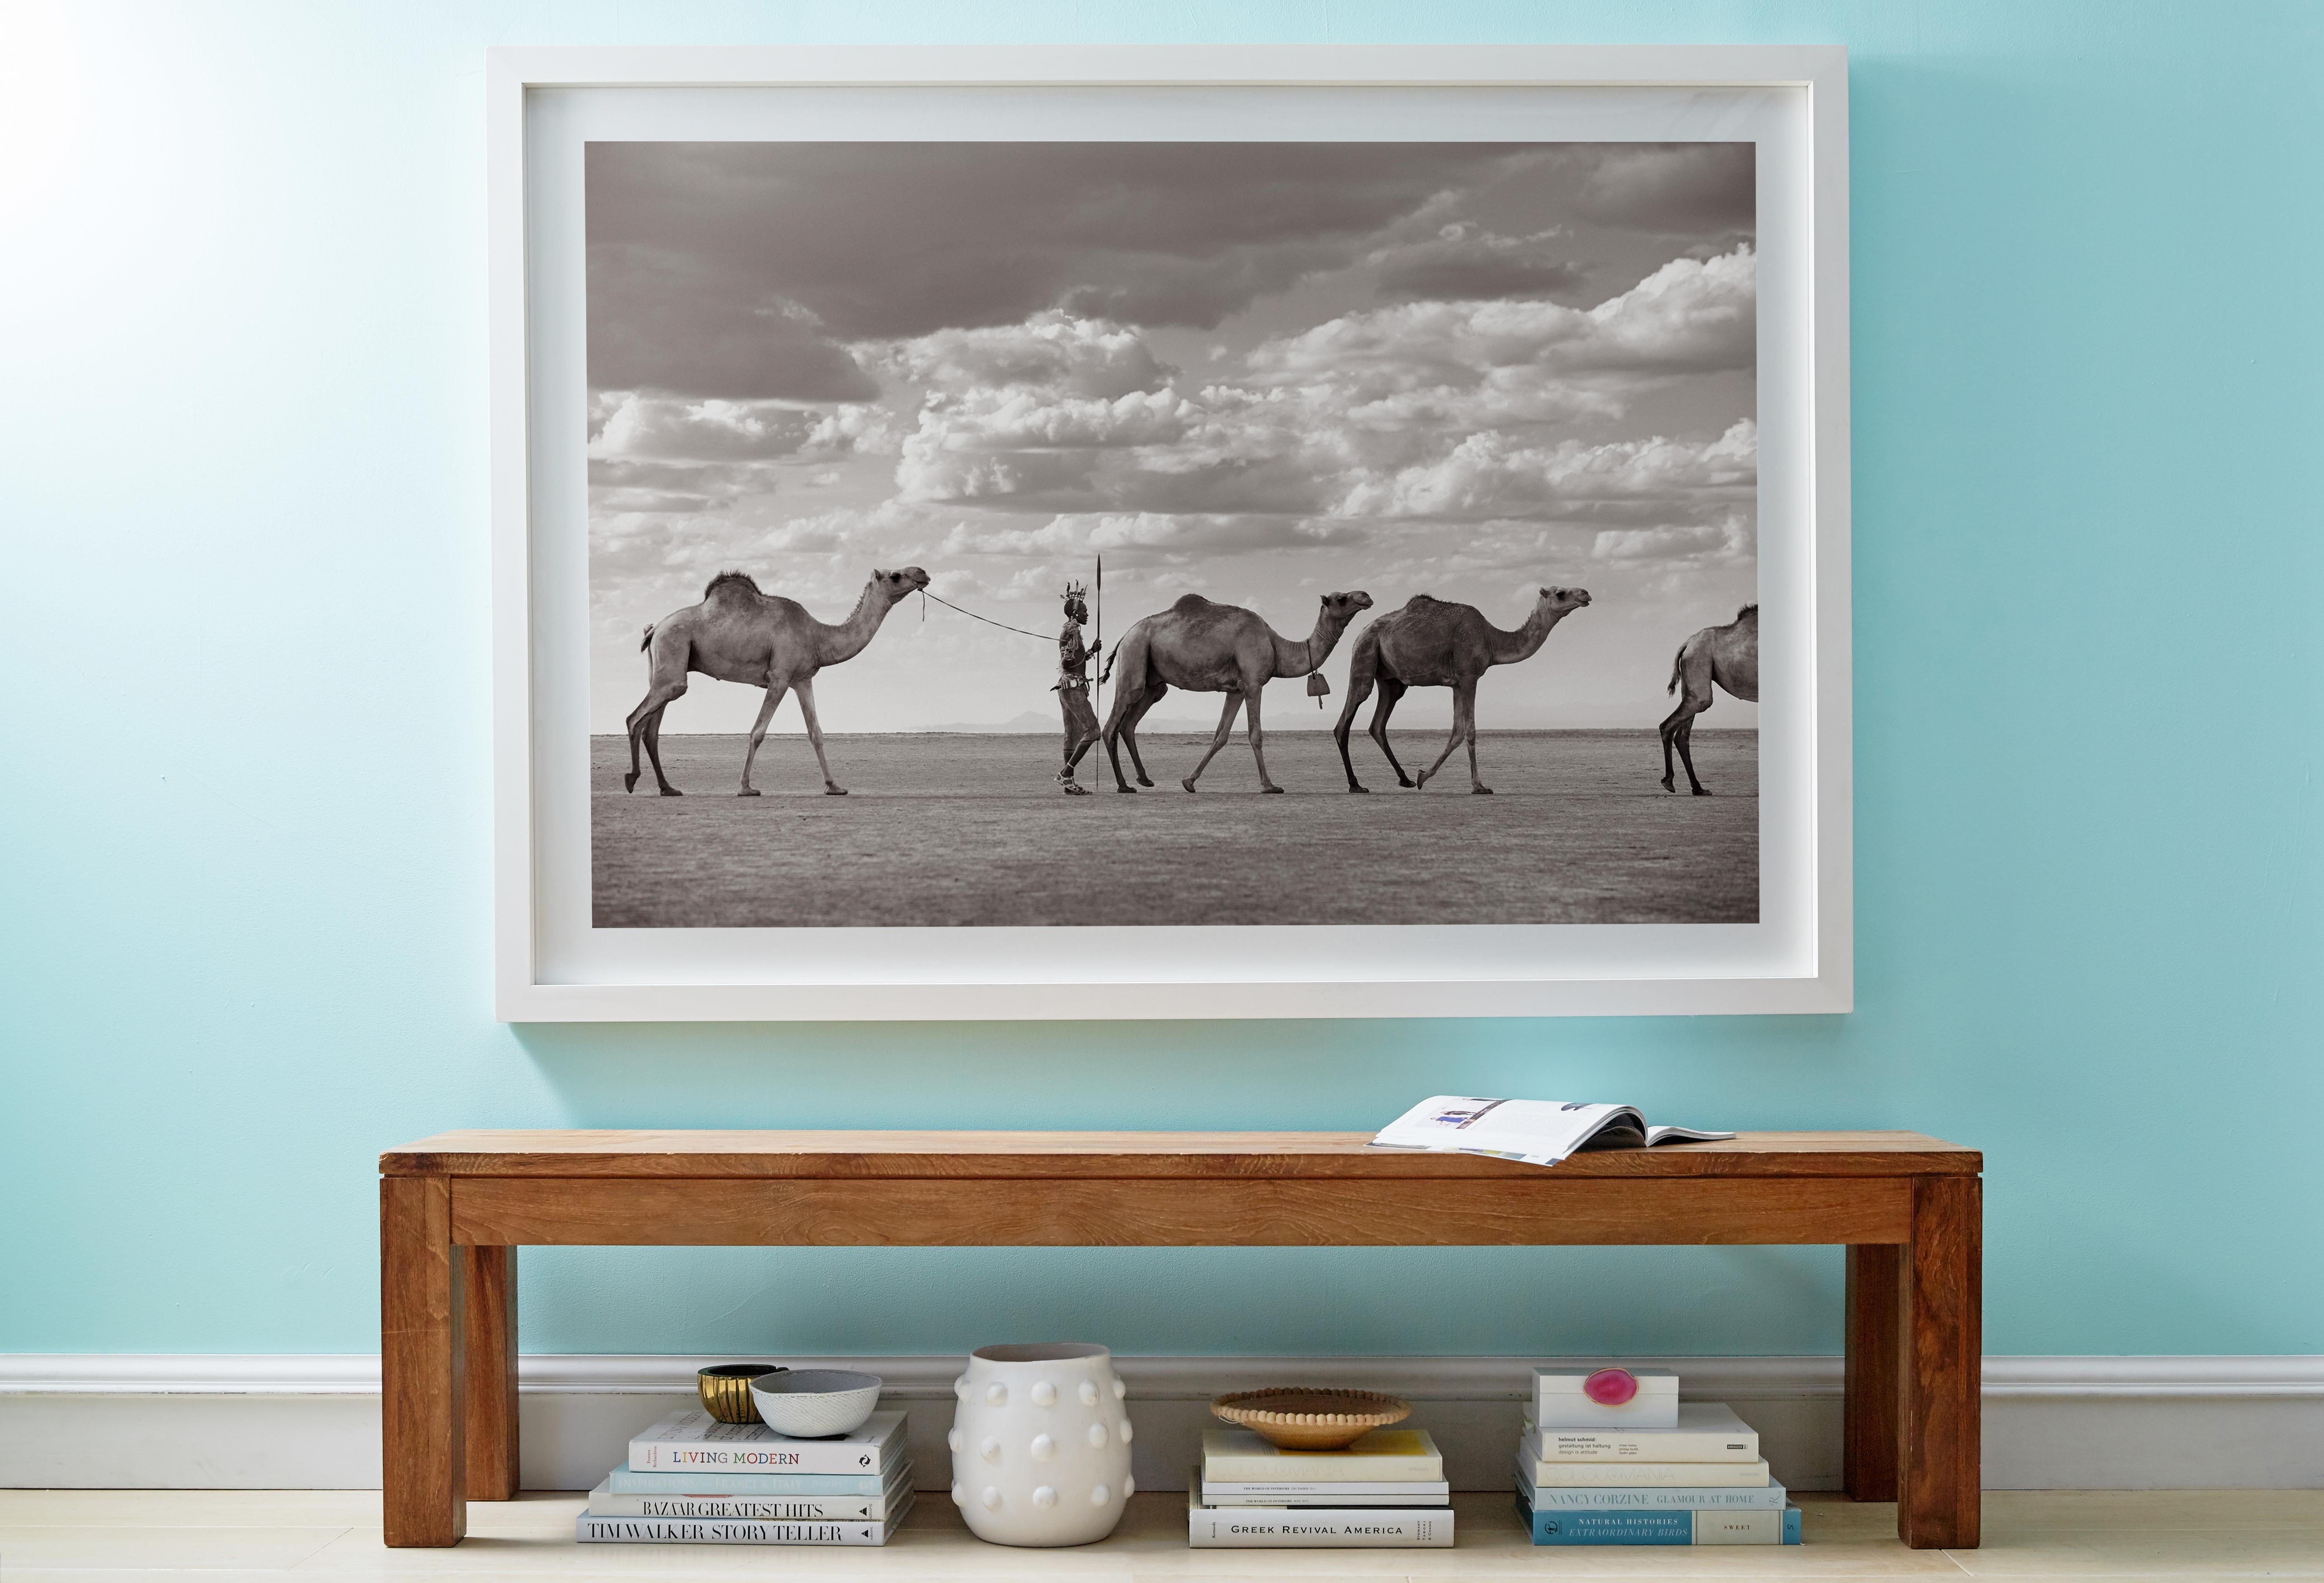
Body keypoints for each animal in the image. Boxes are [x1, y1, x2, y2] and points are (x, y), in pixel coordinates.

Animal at [636, 562, 934, 795]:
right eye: (895, 575)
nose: (923, 573)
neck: (817, 636)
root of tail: (655, 627)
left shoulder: (802, 679)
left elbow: (816, 733)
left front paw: (834, 786)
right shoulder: (779, 677)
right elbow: (758, 732)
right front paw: (745, 787)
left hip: (662, 670)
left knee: (650, 722)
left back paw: (662, 787)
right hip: (673, 655)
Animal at [1097, 590, 1366, 795]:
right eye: (1342, 598)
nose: (1366, 596)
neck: (1276, 645)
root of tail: (1124, 636)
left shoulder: (1236, 689)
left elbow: (1221, 735)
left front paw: (1189, 782)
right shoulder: (1254, 682)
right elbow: (1256, 735)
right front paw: (1269, 786)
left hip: (1153, 682)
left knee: (1130, 723)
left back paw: (1144, 779)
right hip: (1135, 654)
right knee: (1112, 724)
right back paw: (1123, 786)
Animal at [1338, 585, 1590, 795]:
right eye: (1561, 593)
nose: (1586, 594)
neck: (1491, 639)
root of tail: (1360, 634)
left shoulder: (1457, 684)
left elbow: (1457, 731)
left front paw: (1422, 777)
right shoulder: (1470, 676)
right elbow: (1470, 731)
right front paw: (1479, 786)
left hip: (1391, 681)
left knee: (1378, 725)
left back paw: (1405, 780)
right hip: (1365, 654)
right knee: (1347, 718)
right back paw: (1356, 785)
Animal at [1655, 599, 1757, 795]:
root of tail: (1688, 643)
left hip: (1692, 680)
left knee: (1682, 735)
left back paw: (1698, 788)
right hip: (1698, 664)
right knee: (1670, 725)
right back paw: (1669, 782)